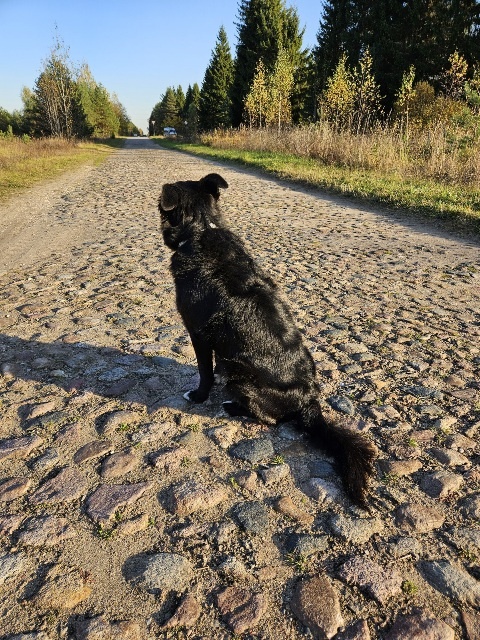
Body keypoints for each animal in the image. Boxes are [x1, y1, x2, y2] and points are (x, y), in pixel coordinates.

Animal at [158, 172, 376, 508]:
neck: (201, 229)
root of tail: (309, 402)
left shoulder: (197, 333)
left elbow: (203, 372)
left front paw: (198, 396)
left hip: (234, 372)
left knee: (270, 419)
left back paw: (232, 408)